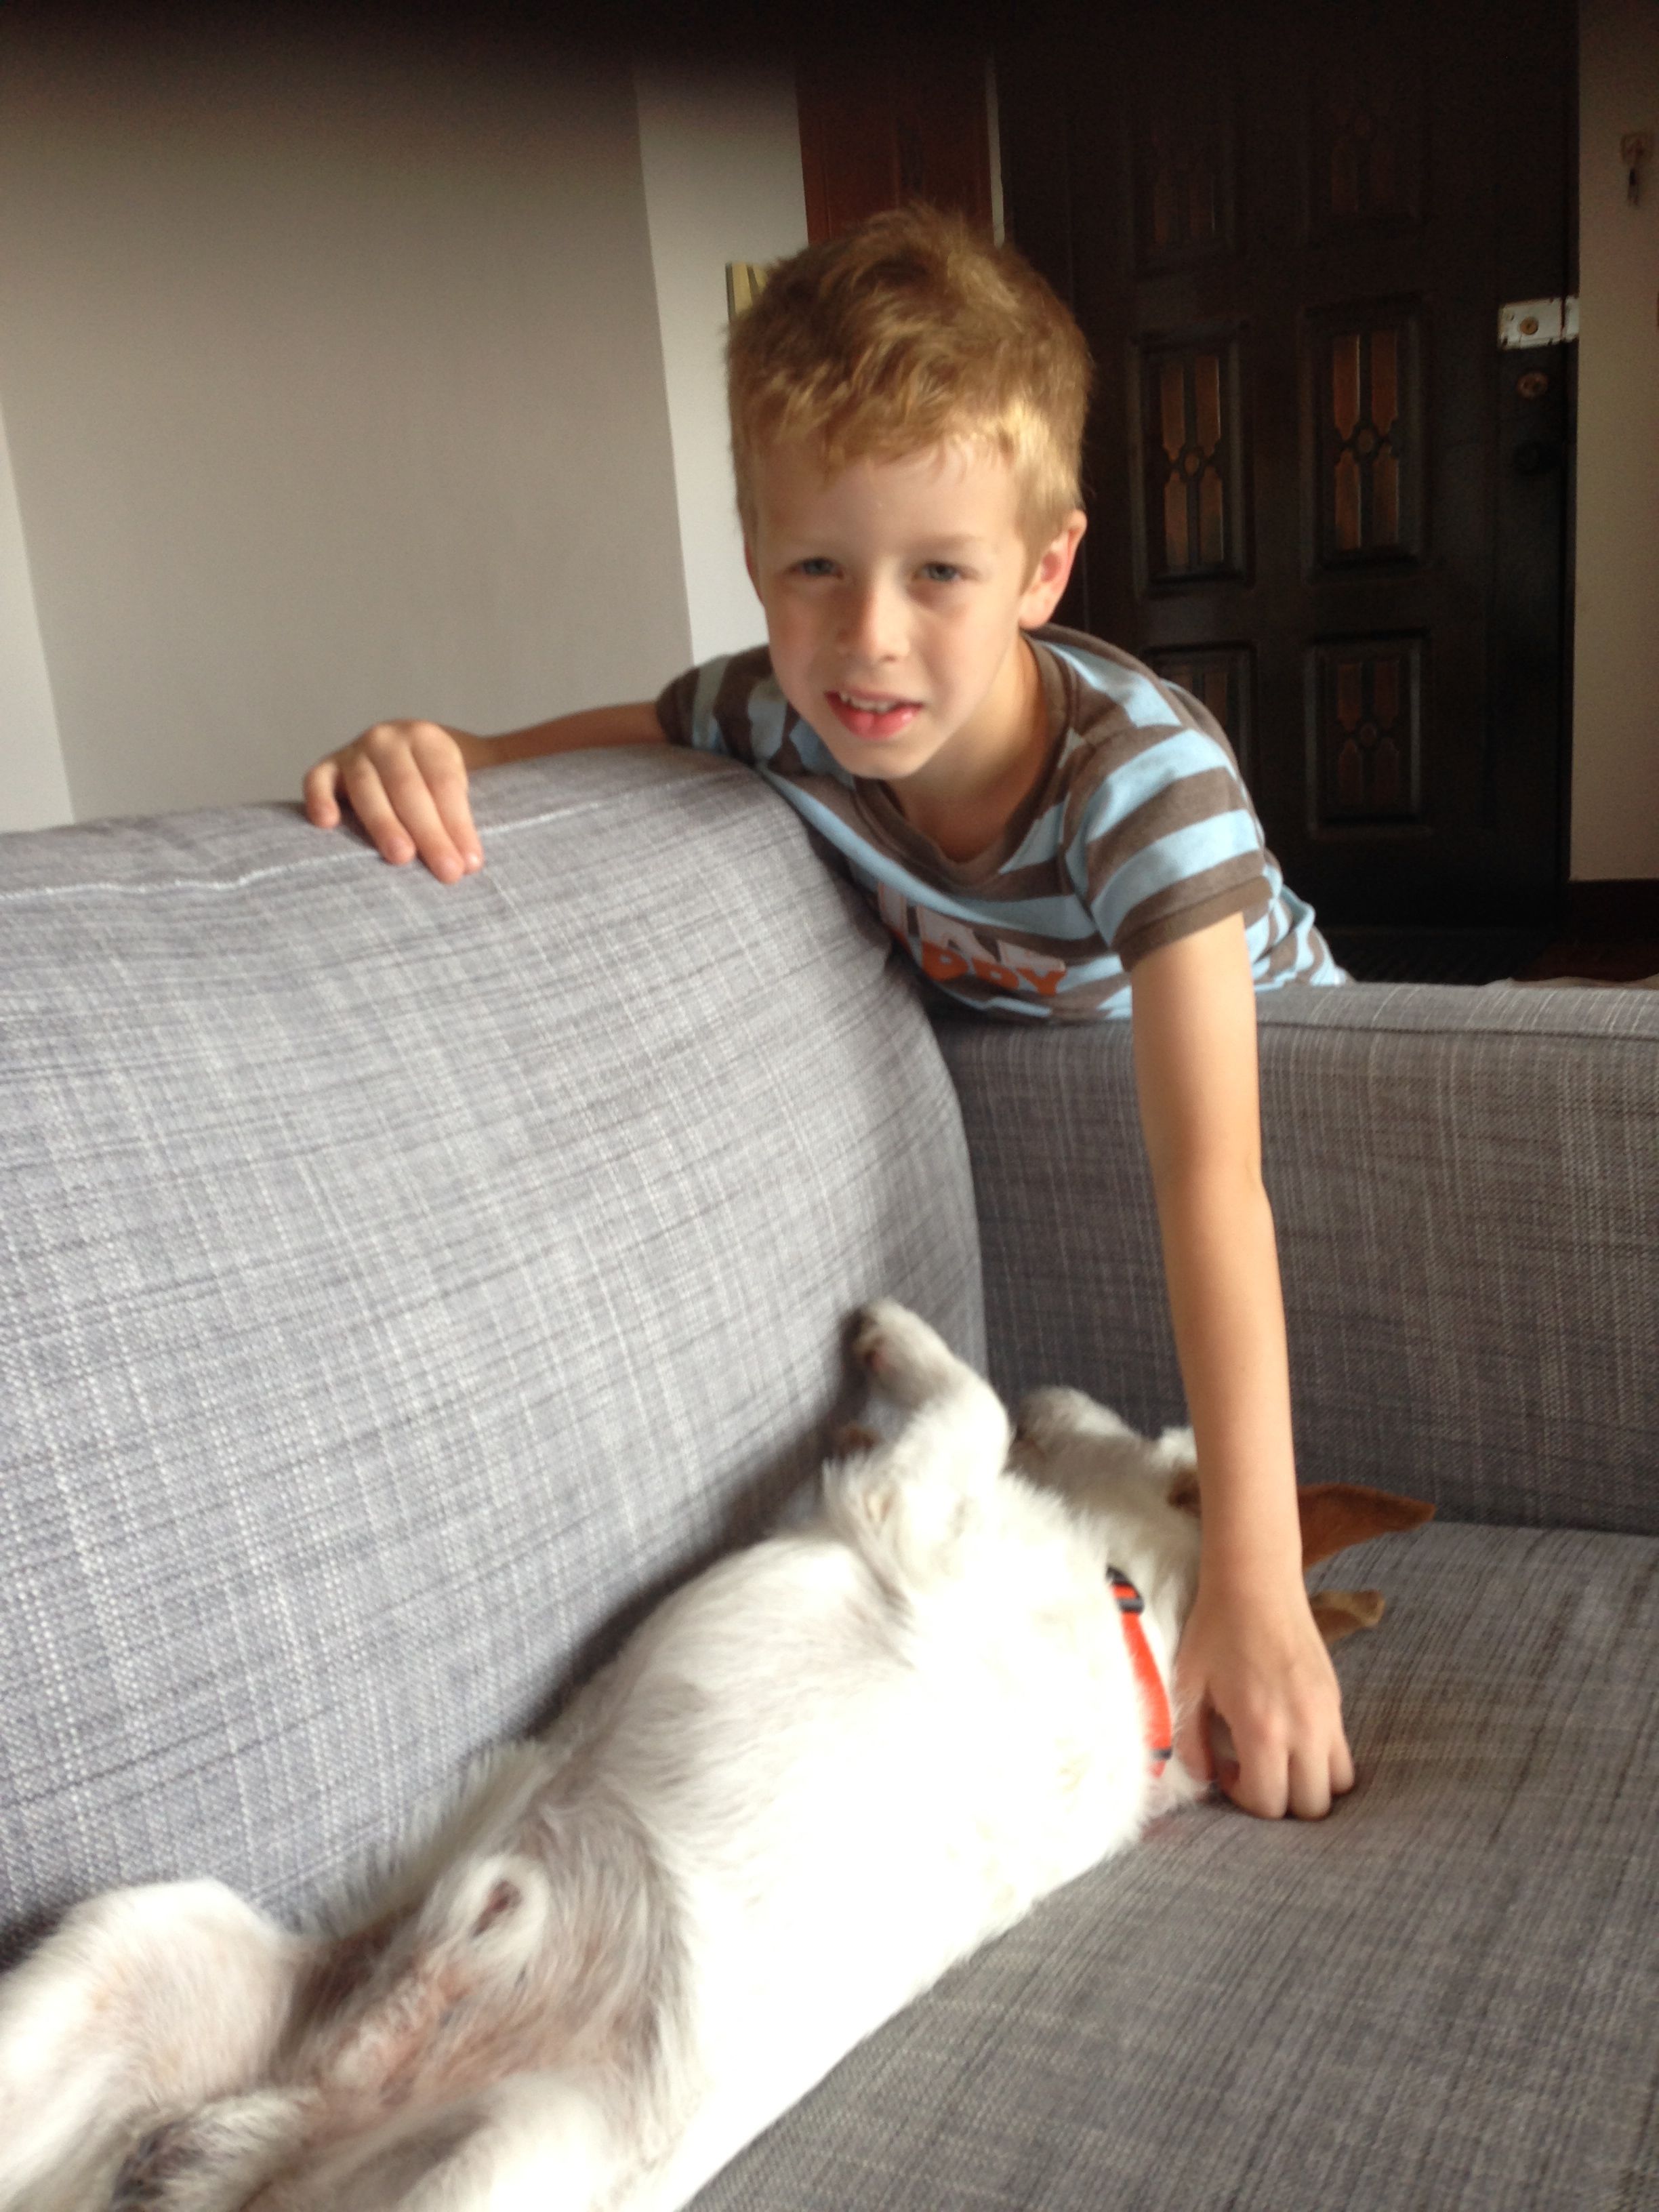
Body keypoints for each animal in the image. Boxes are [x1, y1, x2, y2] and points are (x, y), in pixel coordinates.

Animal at [0, 1301, 1431, 2212]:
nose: (1056, 1381)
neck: (1135, 1627)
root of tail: (281, 2138)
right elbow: (951, 1414)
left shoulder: (910, 1506)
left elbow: (958, 1401)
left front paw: (896, 1339)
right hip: (138, 1942)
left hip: (474, 2159)